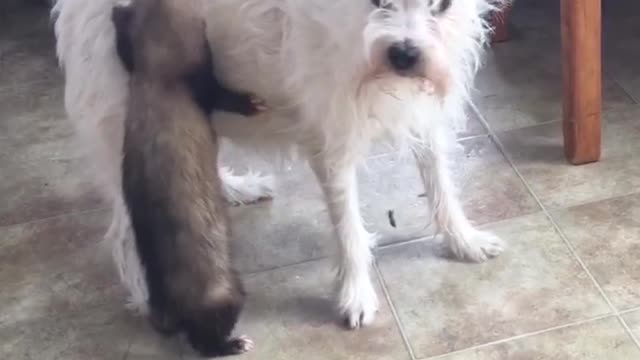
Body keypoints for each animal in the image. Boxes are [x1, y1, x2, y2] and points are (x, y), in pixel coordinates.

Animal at [52, 0, 508, 330]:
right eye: (380, 1)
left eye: (440, 4)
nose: (404, 54)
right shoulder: (333, 141)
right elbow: (349, 228)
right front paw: (356, 293)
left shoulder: (424, 116)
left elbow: (441, 184)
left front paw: (463, 239)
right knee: (122, 234)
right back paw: (149, 300)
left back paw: (234, 188)